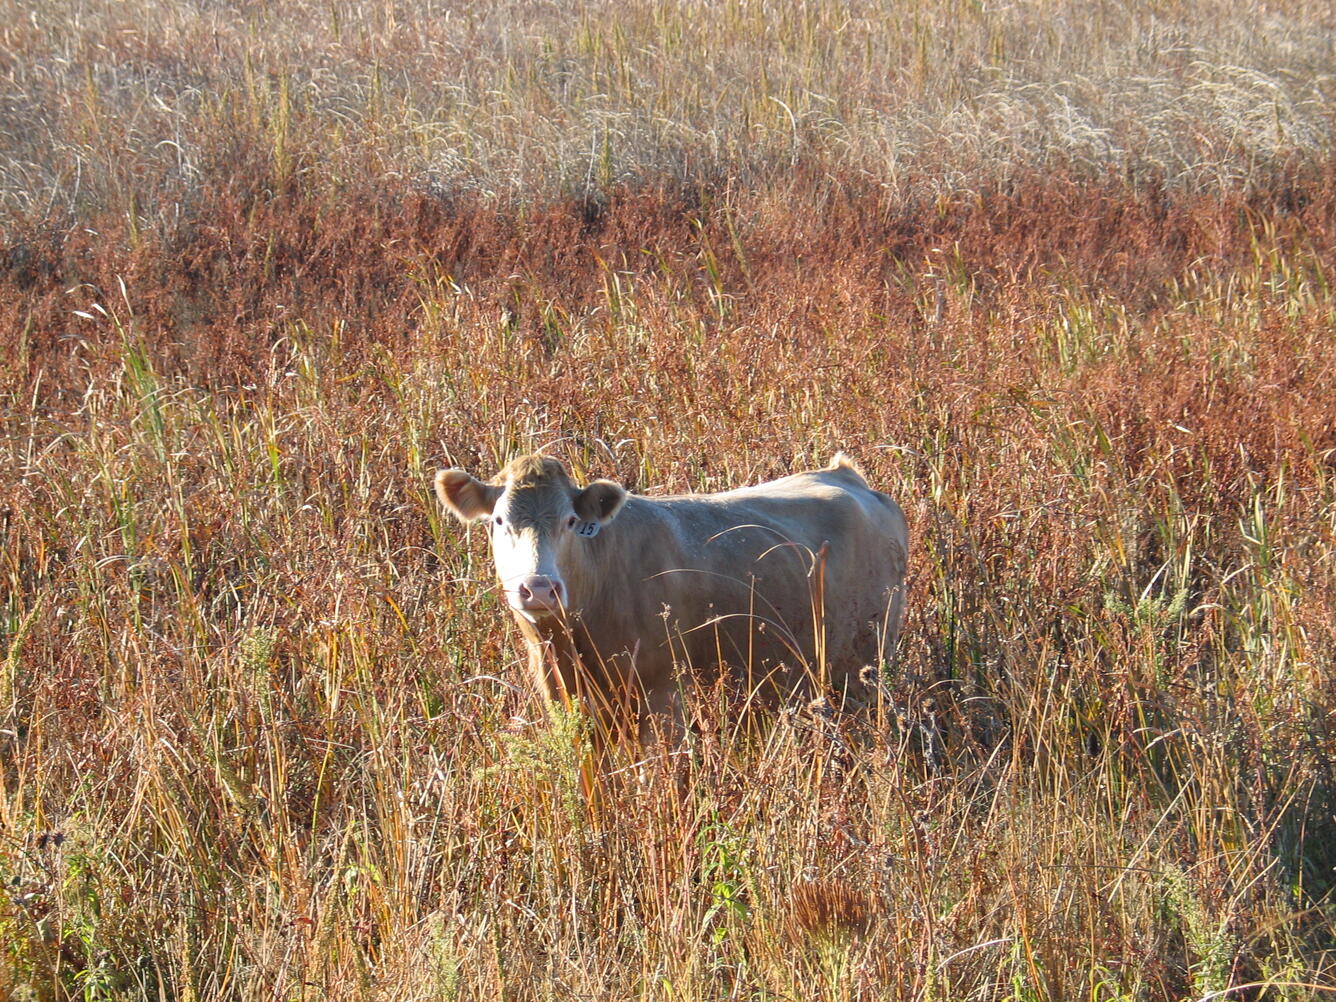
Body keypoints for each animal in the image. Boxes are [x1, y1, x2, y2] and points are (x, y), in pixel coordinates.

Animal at [435, 451, 908, 742]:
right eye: (499, 520)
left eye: (570, 520)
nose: (537, 587)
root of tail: (844, 474)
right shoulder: (561, 696)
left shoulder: (661, 692)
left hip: (869, 656)